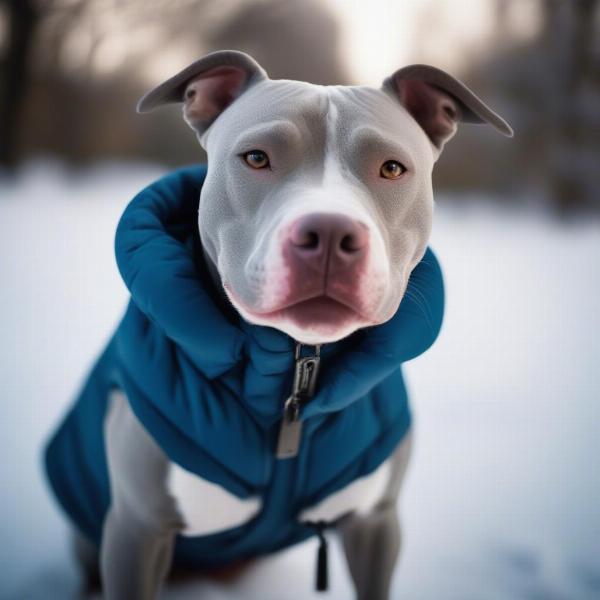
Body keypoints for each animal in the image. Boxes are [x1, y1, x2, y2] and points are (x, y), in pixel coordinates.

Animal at [43, 49, 510, 596]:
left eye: (393, 168)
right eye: (256, 158)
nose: (329, 233)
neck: (297, 372)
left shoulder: (377, 522)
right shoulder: (137, 529)